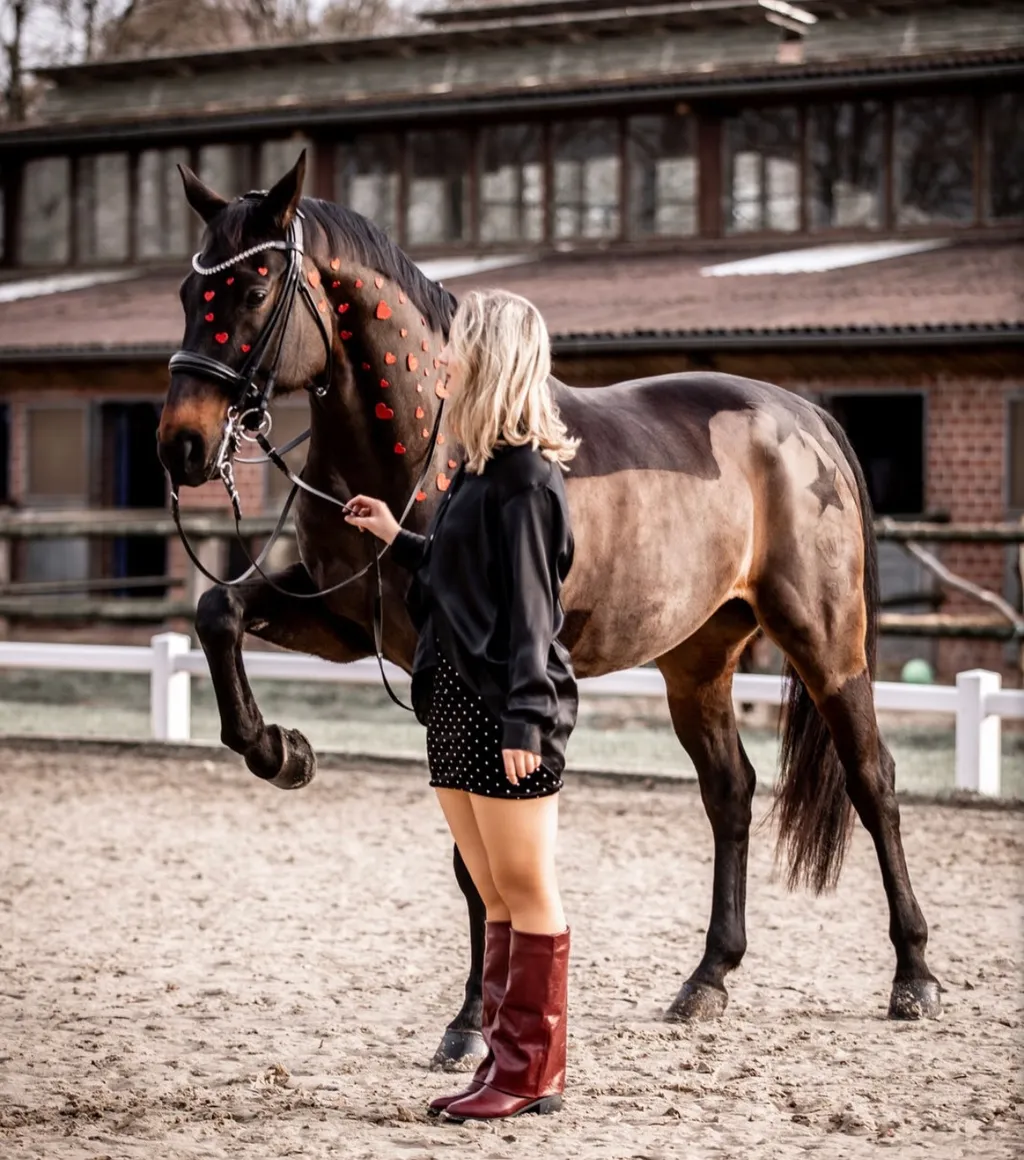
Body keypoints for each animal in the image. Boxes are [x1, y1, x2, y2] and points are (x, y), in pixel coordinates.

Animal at [157, 152, 941, 1067]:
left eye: (252, 289)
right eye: (188, 290)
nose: (180, 444)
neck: (428, 446)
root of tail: (803, 415)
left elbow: (475, 858)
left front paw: (470, 1024)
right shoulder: (345, 620)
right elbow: (218, 610)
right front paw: (279, 751)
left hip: (825, 642)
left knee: (872, 780)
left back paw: (914, 976)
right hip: (697, 662)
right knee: (731, 792)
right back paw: (707, 978)